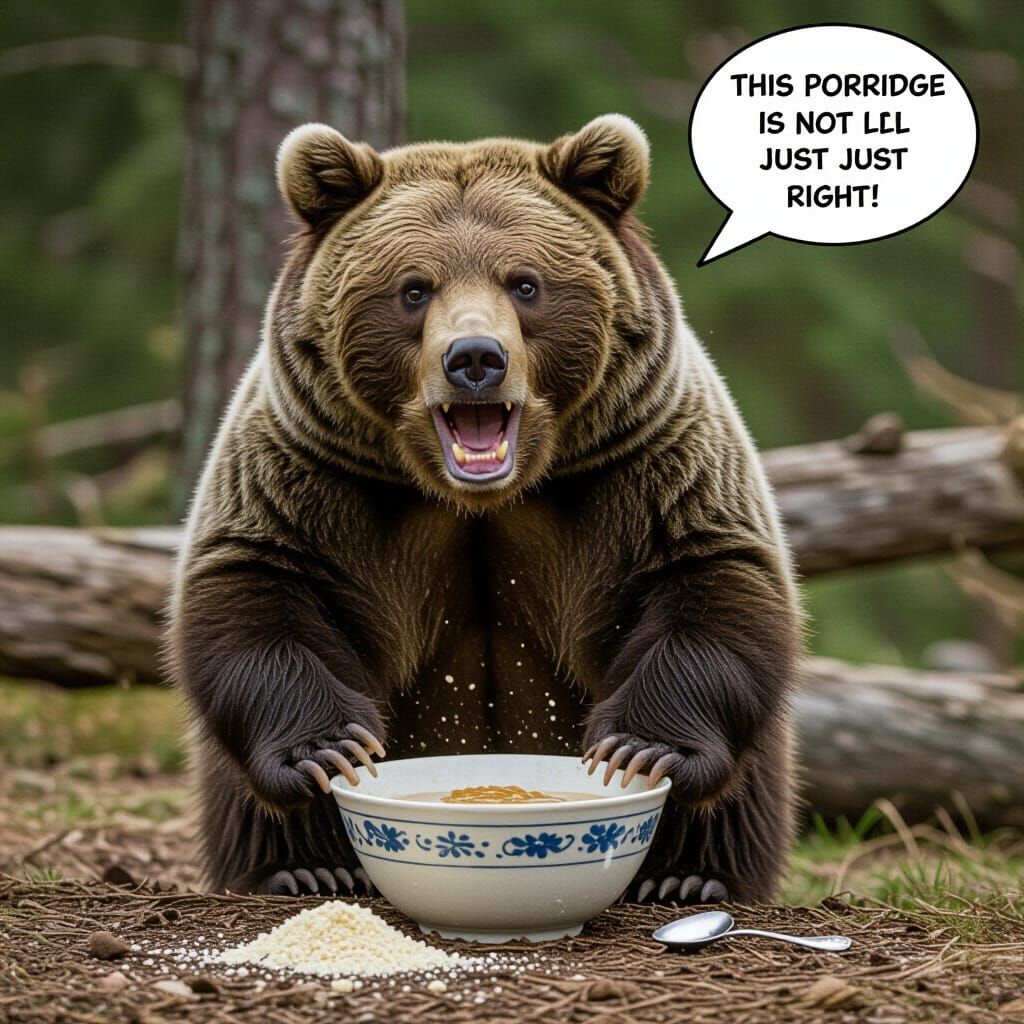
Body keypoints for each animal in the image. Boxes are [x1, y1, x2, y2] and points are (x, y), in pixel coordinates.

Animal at [167, 114, 801, 904]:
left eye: (525, 282)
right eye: (413, 289)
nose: (474, 358)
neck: (480, 496)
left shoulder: (649, 464)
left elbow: (709, 585)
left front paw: (643, 750)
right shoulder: (308, 473)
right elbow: (260, 592)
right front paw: (326, 750)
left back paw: (689, 878)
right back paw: (305, 865)